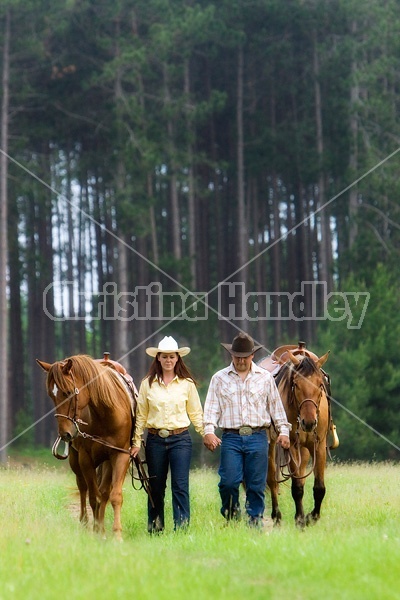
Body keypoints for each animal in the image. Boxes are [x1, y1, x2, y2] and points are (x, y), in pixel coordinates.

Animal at [37, 354, 134, 536]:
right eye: (51, 396)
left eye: (68, 392)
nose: (65, 434)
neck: (105, 414)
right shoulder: (85, 459)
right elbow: (93, 497)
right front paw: (97, 530)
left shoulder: (120, 455)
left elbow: (114, 495)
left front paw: (115, 533)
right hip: (75, 460)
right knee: (82, 487)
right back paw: (85, 522)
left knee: (104, 492)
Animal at [268, 350, 330, 528]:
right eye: (296, 384)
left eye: (320, 384)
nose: (308, 422)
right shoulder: (292, 446)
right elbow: (297, 487)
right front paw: (301, 518)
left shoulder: (319, 445)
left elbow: (319, 488)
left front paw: (312, 516)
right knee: (271, 480)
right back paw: (276, 515)